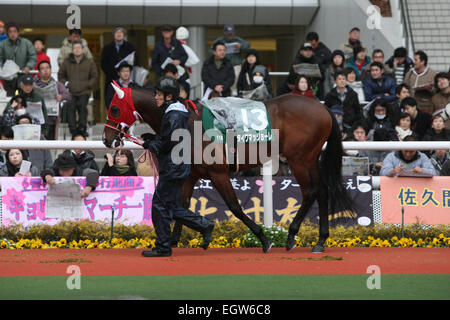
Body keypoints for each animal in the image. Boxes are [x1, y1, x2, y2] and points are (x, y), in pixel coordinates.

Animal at [102, 84, 352, 252]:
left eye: (114, 108)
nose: (106, 139)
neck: (188, 124)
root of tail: (323, 109)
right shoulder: (190, 176)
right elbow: (181, 205)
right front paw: (176, 240)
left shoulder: (218, 173)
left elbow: (235, 207)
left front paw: (264, 238)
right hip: (309, 160)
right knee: (322, 191)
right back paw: (320, 241)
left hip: (299, 160)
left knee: (310, 192)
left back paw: (291, 236)